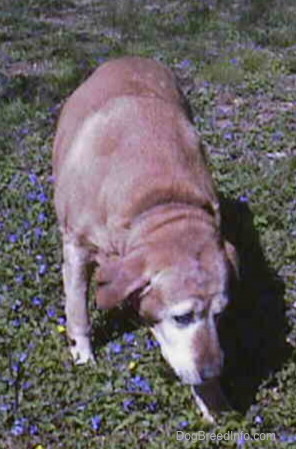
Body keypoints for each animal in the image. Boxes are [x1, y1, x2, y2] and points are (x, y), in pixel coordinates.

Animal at [53, 56, 238, 420]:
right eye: (182, 317)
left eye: (221, 314)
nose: (213, 371)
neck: (158, 202)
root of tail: (129, 57)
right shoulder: (77, 247)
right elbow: (78, 308)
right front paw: (83, 354)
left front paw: (212, 398)